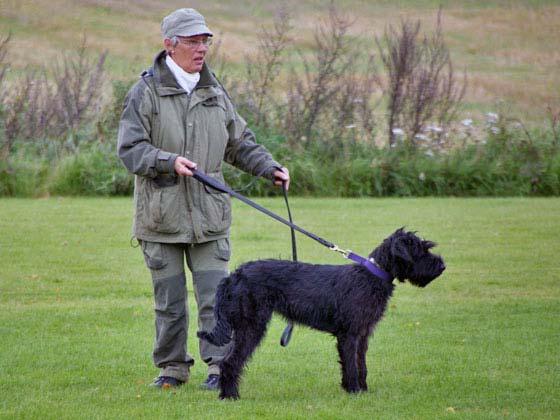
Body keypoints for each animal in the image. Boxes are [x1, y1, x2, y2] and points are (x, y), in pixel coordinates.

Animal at [199, 228, 444, 398]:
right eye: (421, 250)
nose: (442, 266)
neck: (372, 276)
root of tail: (235, 275)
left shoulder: (363, 334)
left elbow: (361, 363)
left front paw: (362, 390)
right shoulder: (349, 335)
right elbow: (351, 364)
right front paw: (354, 390)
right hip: (251, 327)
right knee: (230, 362)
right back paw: (230, 396)